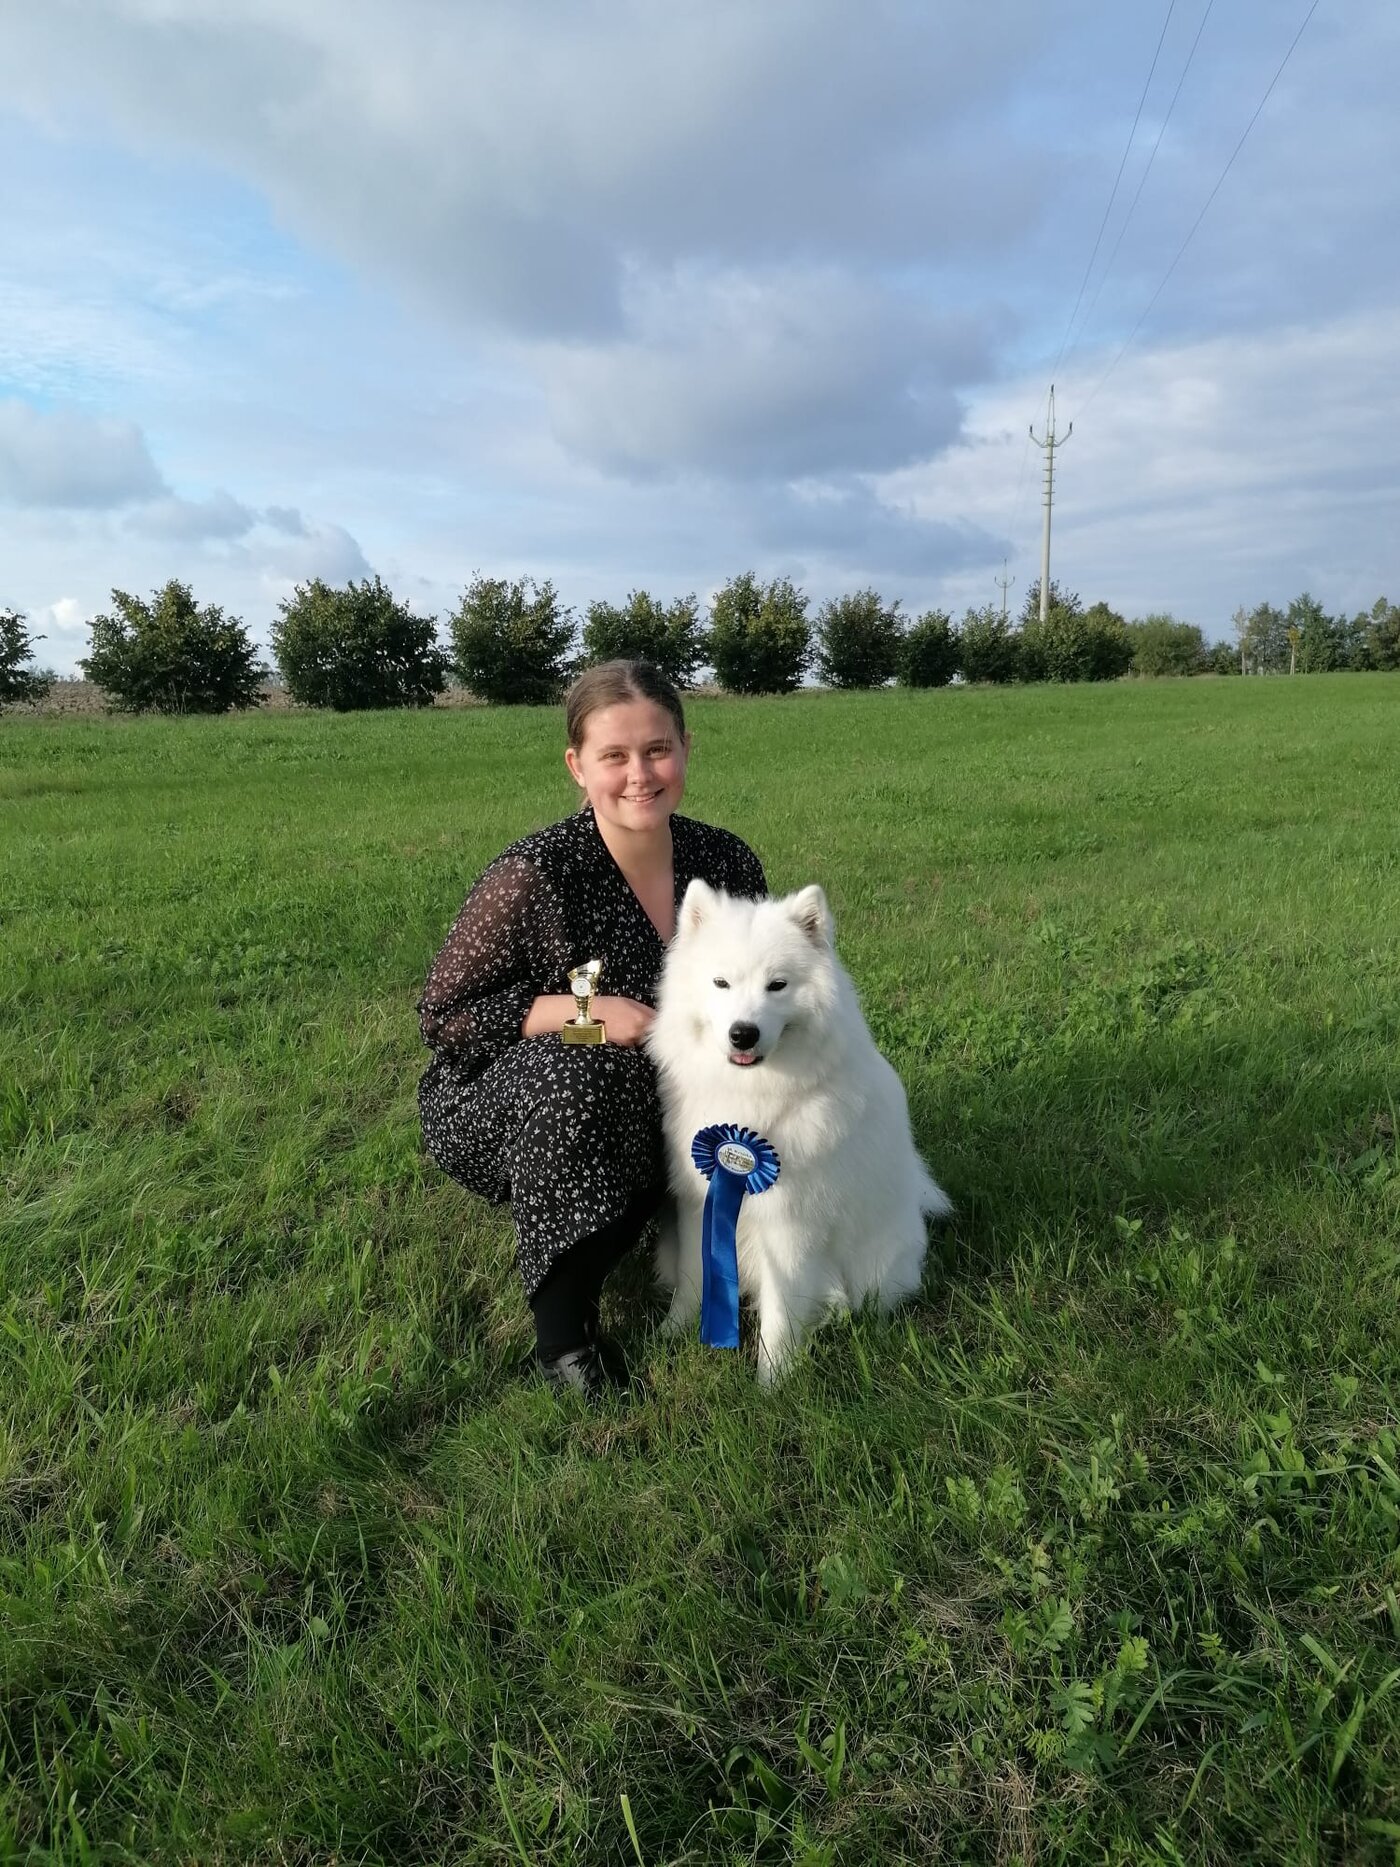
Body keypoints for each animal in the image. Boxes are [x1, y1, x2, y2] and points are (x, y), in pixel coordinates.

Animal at [648, 879, 951, 1381]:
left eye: (777, 985)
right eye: (721, 983)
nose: (743, 1033)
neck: (752, 1096)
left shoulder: (790, 1222)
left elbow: (781, 1308)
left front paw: (772, 1379)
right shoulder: (698, 1202)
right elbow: (694, 1278)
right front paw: (674, 1331)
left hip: (876, 1268)